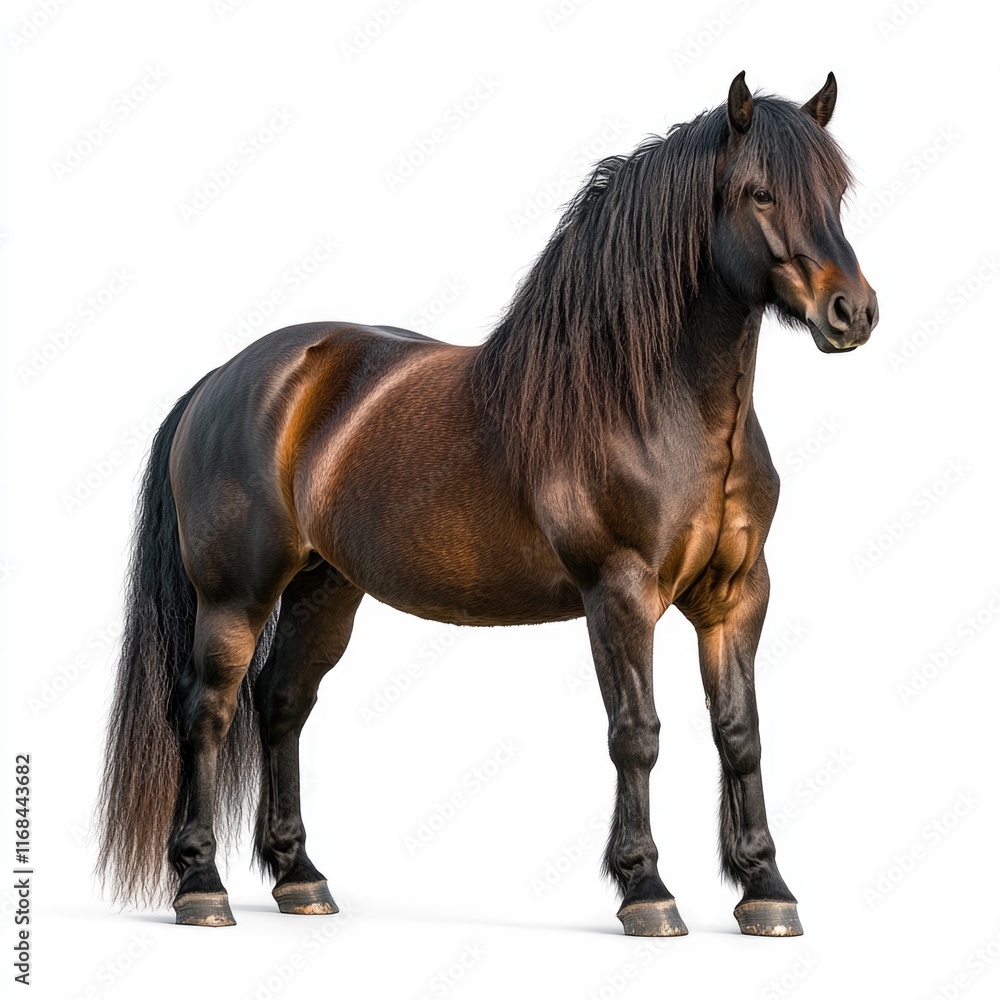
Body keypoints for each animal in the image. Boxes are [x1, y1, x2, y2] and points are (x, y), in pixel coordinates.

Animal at [96, 71, 877, 937]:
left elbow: (740, 734)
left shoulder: (737, 598)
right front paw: (646, 889)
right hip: (234, 595)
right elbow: (635, 734)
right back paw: (201, 885)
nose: (852, 312)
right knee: (207, 711)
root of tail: (224, 378)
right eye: (758, 193)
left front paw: (766, 889)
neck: (653, 402)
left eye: (837, 192)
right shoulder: (619, 593)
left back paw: (300, 878)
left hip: (323, 591)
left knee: (281, 704)